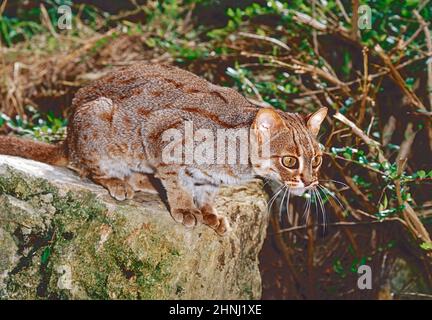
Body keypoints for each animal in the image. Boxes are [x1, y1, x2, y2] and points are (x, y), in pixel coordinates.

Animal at [0, 63, 324, 236]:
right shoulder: (162, 133)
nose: (310, 182)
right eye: (289, 161)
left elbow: (207, 192)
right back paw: (120, 181)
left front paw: (208, 211)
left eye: (318, 160)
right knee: (85, 167)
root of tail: (67, 138)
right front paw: (184, 207)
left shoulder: (210, 178)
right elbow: (177, 182)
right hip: (99, 120)